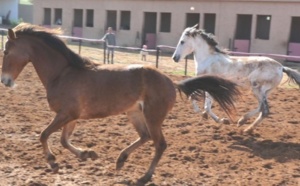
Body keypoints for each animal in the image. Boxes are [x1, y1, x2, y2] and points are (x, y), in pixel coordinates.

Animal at [0, 23, 239, 185]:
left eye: (6, 51)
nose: (5, 81)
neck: (62, 74)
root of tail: (172, 82)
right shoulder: (70, 116)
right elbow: (63, 140)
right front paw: (88, 154)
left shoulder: (65, 114)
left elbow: (44, 135)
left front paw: (52, 162)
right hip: (135, 114)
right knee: (145, 136)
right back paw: (121, 160)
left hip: (153, 116)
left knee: (159, 144)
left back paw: (144, 176)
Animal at [172, 25, 300, 132]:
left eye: (182, 42)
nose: (174, 58)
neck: (208, 59)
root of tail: (281, 67)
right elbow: (197, 100)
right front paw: (208, 116)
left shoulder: (208, 85)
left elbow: (202, 104)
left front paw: (220, 120)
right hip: (266, 91)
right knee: (260, 108)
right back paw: (241, 121)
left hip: (257, 88)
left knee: (265, 111)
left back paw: (247, 129)